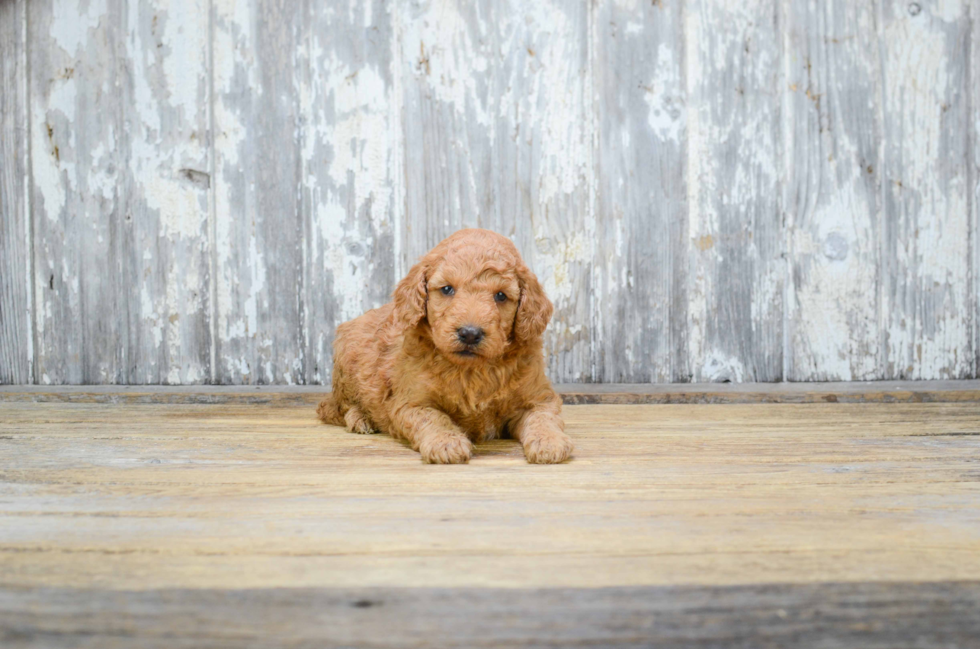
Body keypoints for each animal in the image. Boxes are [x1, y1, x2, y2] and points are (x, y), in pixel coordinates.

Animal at [314, 230, 576, 464]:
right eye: (447, 289)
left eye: (501, 296)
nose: (470, 333)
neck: (471, 370)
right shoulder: (410, 402)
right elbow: (432, 417)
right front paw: (446, 443)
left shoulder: (539, 397)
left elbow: (544, 417)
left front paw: (549, 442)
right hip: (347, 365)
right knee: (334, 408)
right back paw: (361, 419)